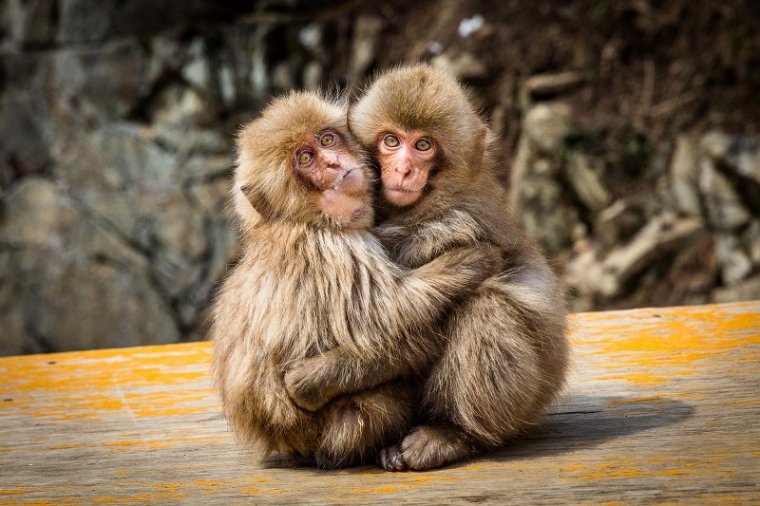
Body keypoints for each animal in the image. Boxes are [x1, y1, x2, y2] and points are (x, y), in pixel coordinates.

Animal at [209, 92, 498, 470]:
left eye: (326, 140)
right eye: (305, 159)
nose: (333, 164)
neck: (303, 218)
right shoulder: (334, 249)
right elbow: (393, 316)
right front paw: (473, 260)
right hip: (351, 422)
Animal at [286, 66, 568, 470]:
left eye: (423, 146)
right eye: (391, 140)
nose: (404, 170)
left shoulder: (464, 225)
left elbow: (412, 331)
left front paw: (314, 379)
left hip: (532, 396)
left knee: (486, 308)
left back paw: (455, 435)